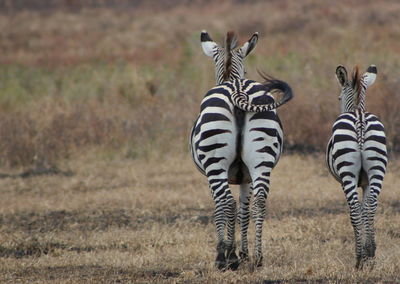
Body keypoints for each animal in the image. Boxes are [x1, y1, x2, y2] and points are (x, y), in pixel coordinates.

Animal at [189, 30, 296, 270]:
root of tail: (237, 89)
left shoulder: (214, 176)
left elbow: (221, 208)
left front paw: (229, 252)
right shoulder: (245, 177)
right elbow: (244, 210)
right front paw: (244, 253)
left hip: (215, 162)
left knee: (227, 202)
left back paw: (224, 258)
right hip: (262, 158)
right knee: (260, 202)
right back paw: (258, 257)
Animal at [326, 64, 386, 268]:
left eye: (338, 98)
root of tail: (359, 117)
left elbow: (358, 210)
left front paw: (363, 252)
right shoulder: (366, 182)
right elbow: (365, 208)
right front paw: (369, 250)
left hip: (347, 174)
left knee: (353, 209)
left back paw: (359, 258)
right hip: (377, 168)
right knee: (371, 206)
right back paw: (371, 252)